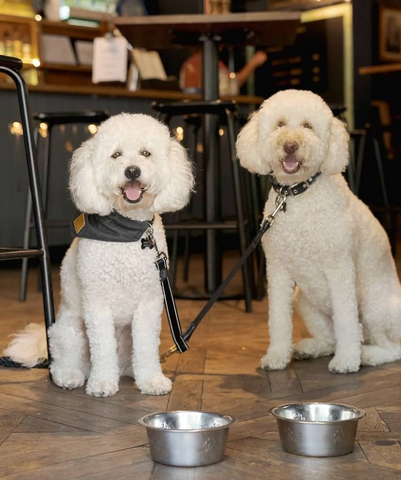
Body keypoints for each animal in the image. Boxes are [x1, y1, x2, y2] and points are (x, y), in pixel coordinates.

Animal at [5, 113, 194, 398]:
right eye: (116, 155)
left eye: (146, 153)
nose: (132, 171)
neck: (126, 231)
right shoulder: (97, 303)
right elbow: (102, 348)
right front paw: (103, 383)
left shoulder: (150, 302)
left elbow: (147, 347)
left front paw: (152, 380)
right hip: (69, 330)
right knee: (63, 362)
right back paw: (70, 376)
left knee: (129, 359)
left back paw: (131, 371)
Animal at [236, 91, 400, 376]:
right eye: (280, 124)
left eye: (307, 126)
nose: (290, 145)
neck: (297, 194)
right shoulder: (277, 270)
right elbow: (278, 320)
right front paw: (277, 356)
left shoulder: (339, 268)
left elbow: (346, 319)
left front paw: (347, 361)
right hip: (304, 301)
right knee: (331, 339)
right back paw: (310, 348)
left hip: (373, 306)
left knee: (391, 347)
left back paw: (367, 355)